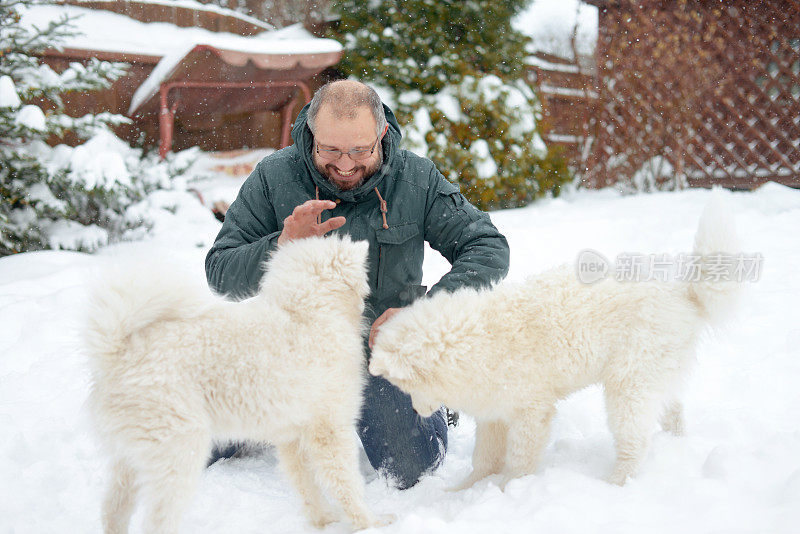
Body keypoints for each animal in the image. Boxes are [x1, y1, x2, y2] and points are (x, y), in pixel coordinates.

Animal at [85, 239, 384, 534]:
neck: (307, 313)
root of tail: (118, 352)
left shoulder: (292, 435)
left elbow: (306, 485)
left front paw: (324, 521)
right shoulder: (330, 429)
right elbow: (346, 482)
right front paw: (370, 522)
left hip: (130, 458)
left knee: (112, 509)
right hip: (179, 451)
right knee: (156, 521)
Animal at [368, 200, 744, 490]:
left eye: (406, 386)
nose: (418, 413)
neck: (473, 343)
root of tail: (684, 293)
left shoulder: (530, 410)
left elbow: (520, 457)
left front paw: (509, 489)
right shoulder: (494, 411)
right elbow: (485, 457)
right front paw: (466, 488)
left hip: (628, 384)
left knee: (635, 439)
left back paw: (616, 481)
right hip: (655, 374)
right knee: (672, 408)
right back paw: (675, 442)